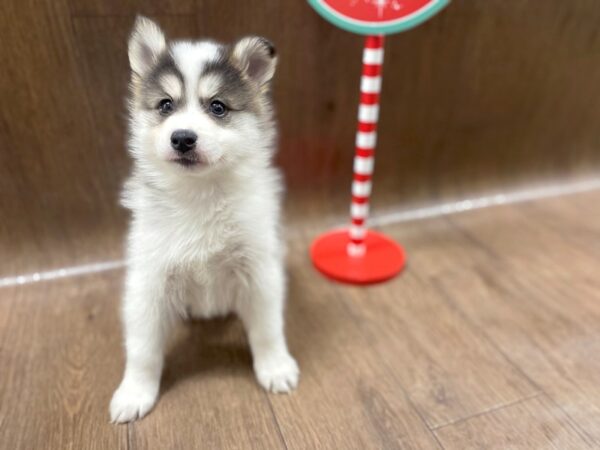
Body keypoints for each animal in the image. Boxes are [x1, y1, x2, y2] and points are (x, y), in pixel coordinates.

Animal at [110, 15, 298, 424]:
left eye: (218, 107)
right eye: (165, 105)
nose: (183, 138)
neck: (200, 196)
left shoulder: (259, 271)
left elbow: (267, 328)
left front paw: (275, 367)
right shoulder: (149, 282)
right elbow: (143, 348)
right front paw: (135, 392)